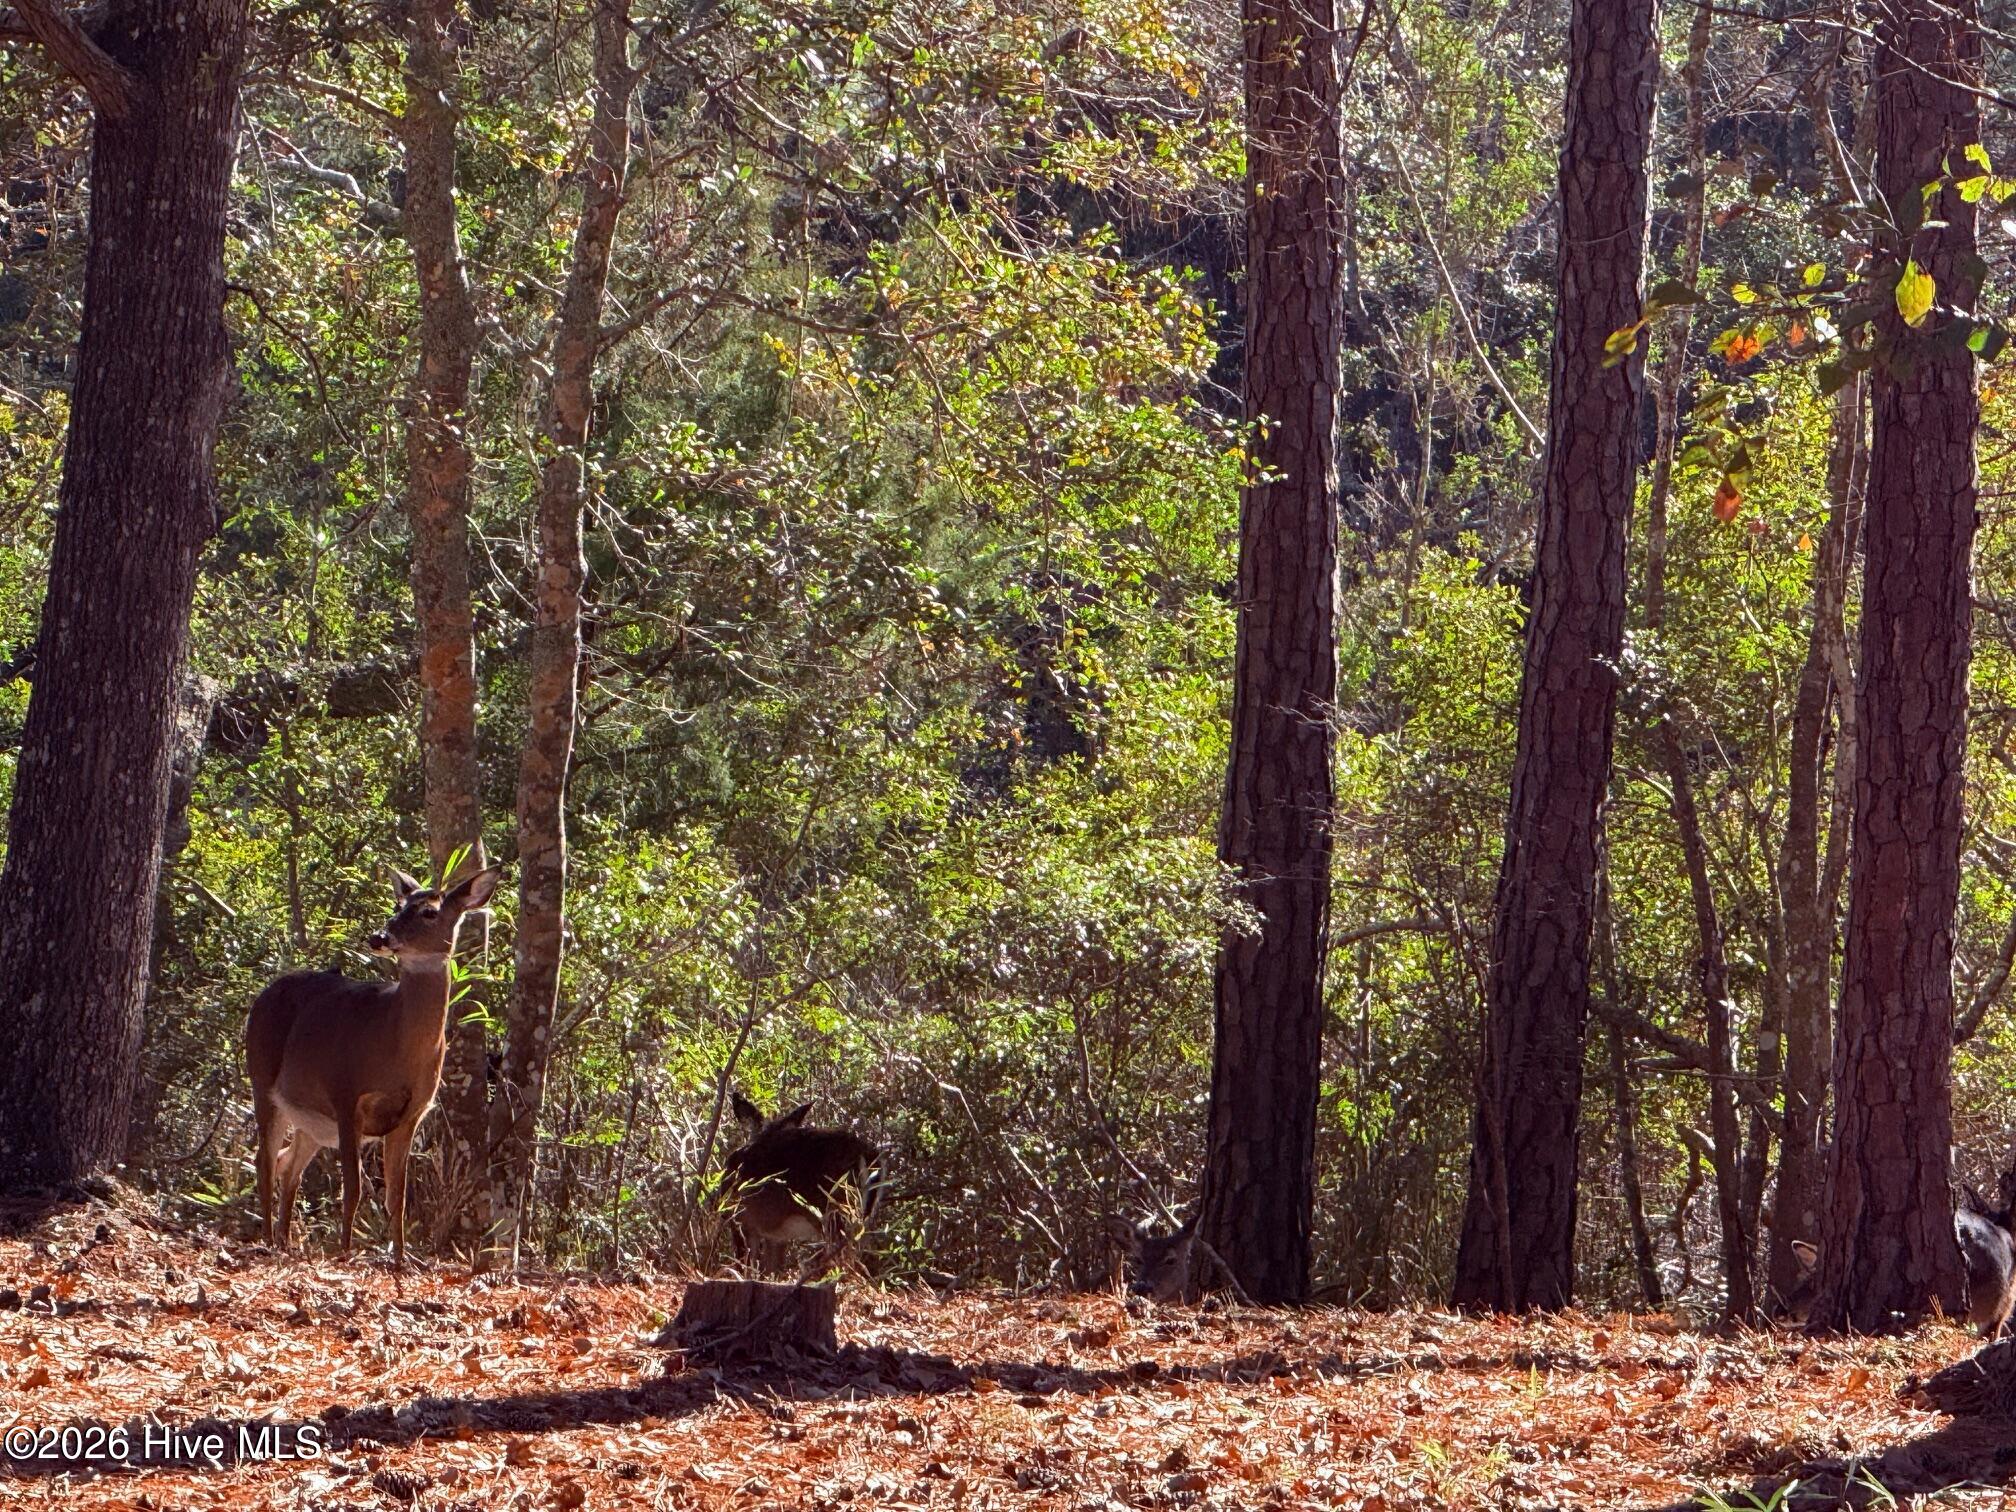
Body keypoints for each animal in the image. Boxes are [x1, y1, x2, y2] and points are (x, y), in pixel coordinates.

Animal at [244, 864, 501, 1268]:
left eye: (429, 912)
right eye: (397, 905)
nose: (379, 937)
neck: (396, 1045)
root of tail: (262, 996)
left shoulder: (413, 1113)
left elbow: (397, 1195)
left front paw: (401, 1260)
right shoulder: (346, 1093)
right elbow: (354, 1186)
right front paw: (346, 1251)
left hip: (311, 1121)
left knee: (289, 1165)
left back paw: (285, 1240)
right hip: (262, 1079)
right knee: (265, 1160)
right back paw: (269, 1238)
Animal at [718, 1091, 881, 1276]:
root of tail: (865, 1155)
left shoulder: (740, 1219)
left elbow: (745, 1264)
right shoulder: (775, 1235)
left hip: (831, 1208)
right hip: (859, 1216)